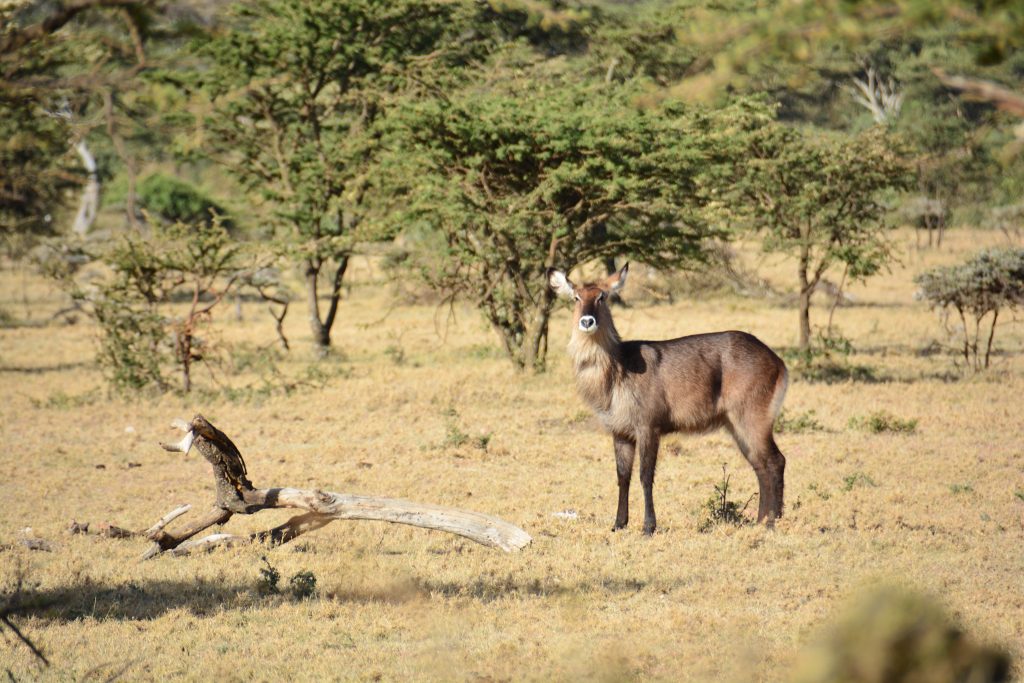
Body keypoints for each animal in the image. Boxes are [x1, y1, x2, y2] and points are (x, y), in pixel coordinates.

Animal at [548, 264, 786, 536]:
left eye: (602, 297)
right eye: (576, 297)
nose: (587, 321)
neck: (617, 369)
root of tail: (776, 359)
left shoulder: (648, 427)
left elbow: (645, 476)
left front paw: (648, 527)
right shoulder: (620, 433)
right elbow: (622, 477)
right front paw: (619, 524)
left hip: (753, 418)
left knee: (775, 461)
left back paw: (772, 522)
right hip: (736, 425)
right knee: (760, 465)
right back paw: (759, 521)